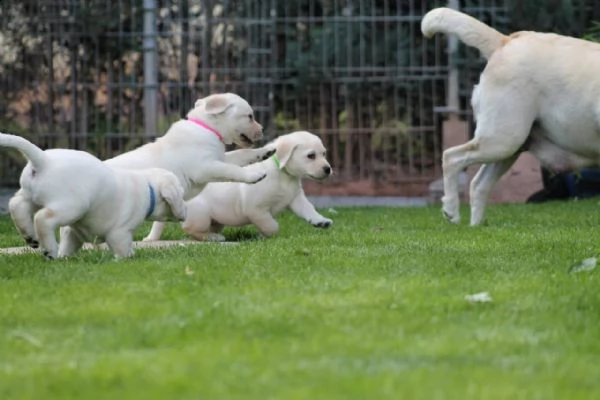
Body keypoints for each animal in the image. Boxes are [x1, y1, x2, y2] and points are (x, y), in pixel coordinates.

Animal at [1, 133, 186, 260]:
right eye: (181, 195)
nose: (186, 210)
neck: (149, 186)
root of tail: (44, 160)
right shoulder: (120, 231)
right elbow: (123, 247)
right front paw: (127, 258)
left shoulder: (72, 231)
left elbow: (69, 243)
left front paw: (64, 258)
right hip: (71, 206)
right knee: (42, 218)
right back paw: (49, 250)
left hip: (31, 195)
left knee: (16, 204)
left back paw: (30, 236)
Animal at [183, 130, 332, 241]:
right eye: (311, 155)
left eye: (324, 153)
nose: (328, 169)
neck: (284, 175)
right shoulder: (256, 209)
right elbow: (272, 226)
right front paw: (265, 236)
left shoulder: (296, 198)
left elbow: (308, 209)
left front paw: (320, 221)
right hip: (201, 216)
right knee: (190, 229)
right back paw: (214, 237)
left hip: (217, 220)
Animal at [422, 7, 600, 225]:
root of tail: (505, 41)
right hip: (502, 140)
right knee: (451, 157)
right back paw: (452, 211)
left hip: (510, 147)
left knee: (478, 185)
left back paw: (475, 228)